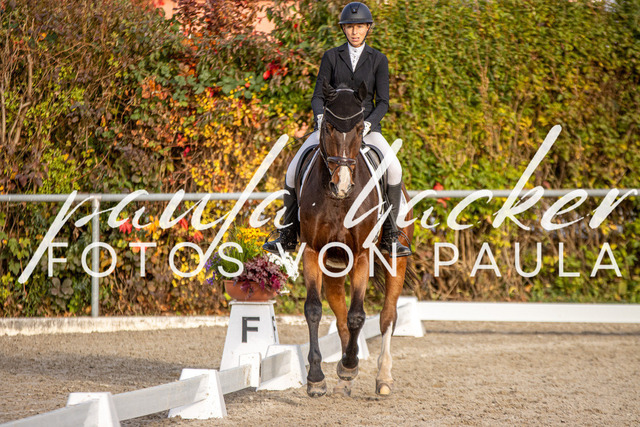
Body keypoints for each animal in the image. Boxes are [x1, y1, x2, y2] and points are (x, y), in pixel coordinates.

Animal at [298, 80, 415, 397]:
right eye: (328, 127)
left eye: (361, 128)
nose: (342, 185)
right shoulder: (313, 252)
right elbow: (314, 310)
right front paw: (317, 378)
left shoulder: (362, 255)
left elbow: (359, 315)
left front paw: (350, 366)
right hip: (334, 267)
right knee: (339, 318)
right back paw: (342, 379)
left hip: (394, 260)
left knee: (387, 316)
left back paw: (383, 378)